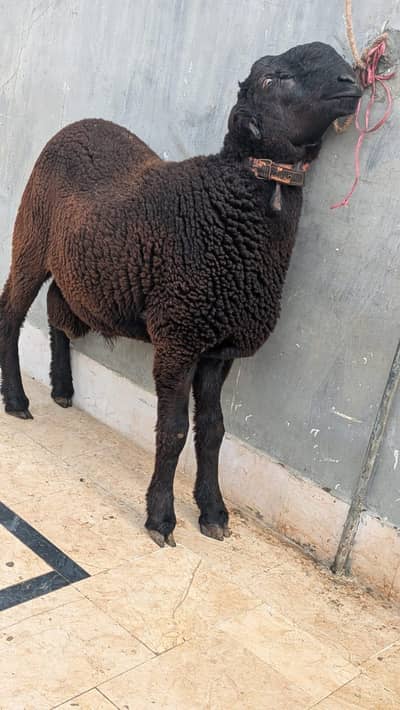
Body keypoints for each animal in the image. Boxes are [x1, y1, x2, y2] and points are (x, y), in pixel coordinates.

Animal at [0, 42, 361, 547]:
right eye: (273, 80)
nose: (351, 83)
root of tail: (77, 125)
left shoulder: (217, 347)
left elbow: (212, 431)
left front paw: (213, 512)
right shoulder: (180, 335)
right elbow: (171, 431)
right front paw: (161, 517)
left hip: (78, 263)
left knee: (57, 308)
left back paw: (63, 388)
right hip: (31, 237)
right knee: (12, 314)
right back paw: (16, 400)